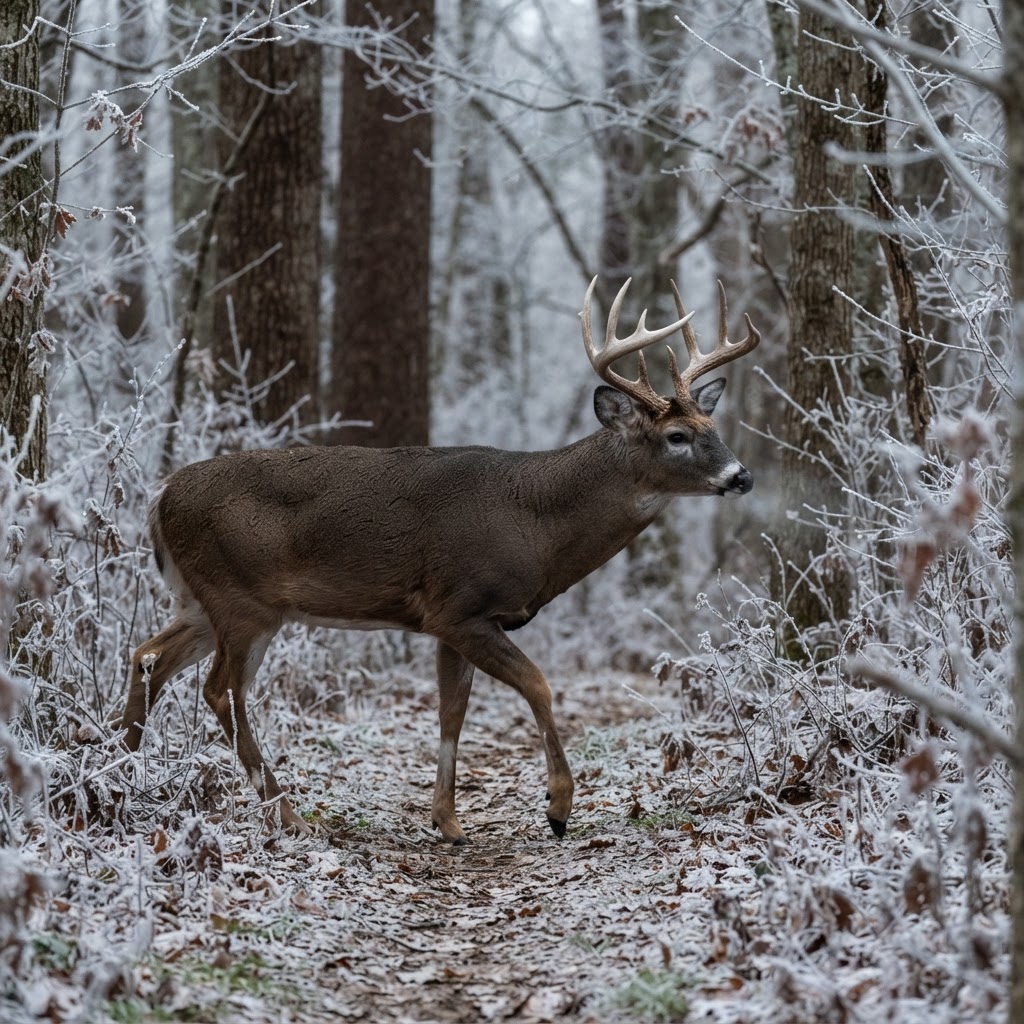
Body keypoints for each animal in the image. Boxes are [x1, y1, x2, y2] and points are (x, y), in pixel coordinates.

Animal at [119, 277, 759, 843]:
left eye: (712, 425)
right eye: (677, 436)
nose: (742, 476)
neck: (535, 520)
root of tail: (160, 497)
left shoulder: (449, 622)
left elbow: (452, 713)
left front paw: (448, 823)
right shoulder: (460, 606)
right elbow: (538, 685)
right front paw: (557, 807)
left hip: (201, 600)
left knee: (148, 657)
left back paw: (119, 776)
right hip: (243, 599)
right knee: (220, 689)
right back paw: (288, 815)